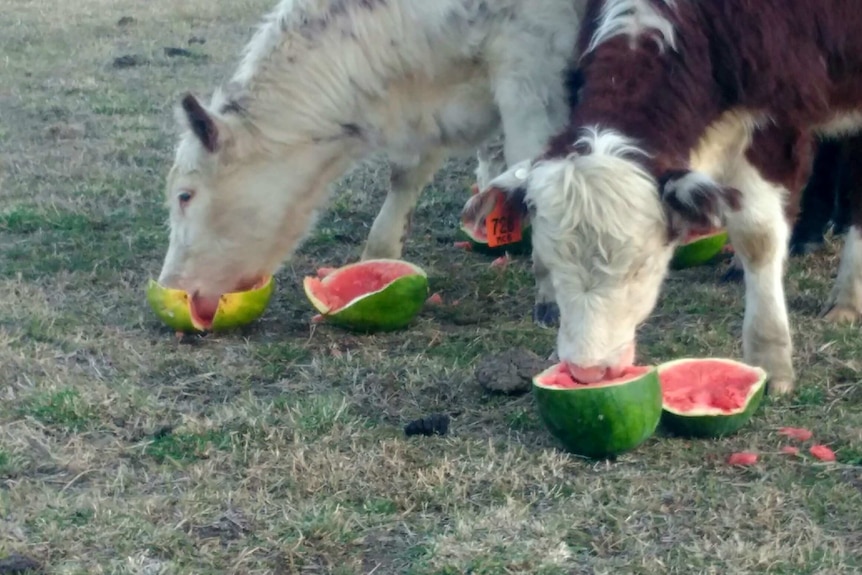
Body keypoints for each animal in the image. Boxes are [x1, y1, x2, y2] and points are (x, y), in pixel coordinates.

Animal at [466, 0, 862, 396]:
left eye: (640, 267)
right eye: (548, 263)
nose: (587, 372)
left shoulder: (775, 125)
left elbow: (758, 239)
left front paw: (770, 360)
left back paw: (845, 298)